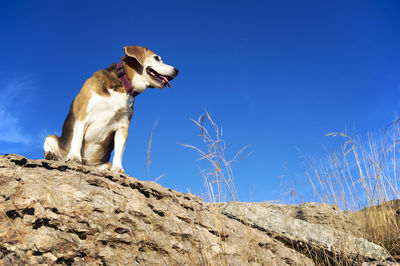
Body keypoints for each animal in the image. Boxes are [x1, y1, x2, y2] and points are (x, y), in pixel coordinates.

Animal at [43, 45, 178, 172]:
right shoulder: (83, 115)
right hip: (50, 137)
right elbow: (78, 137)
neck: (122, 85)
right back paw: (53, 156)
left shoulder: (123, 126)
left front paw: (118, 168)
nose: (177, 70)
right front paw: (75, 157)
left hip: (105, 163)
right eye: (157, 58)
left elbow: (119, 150)